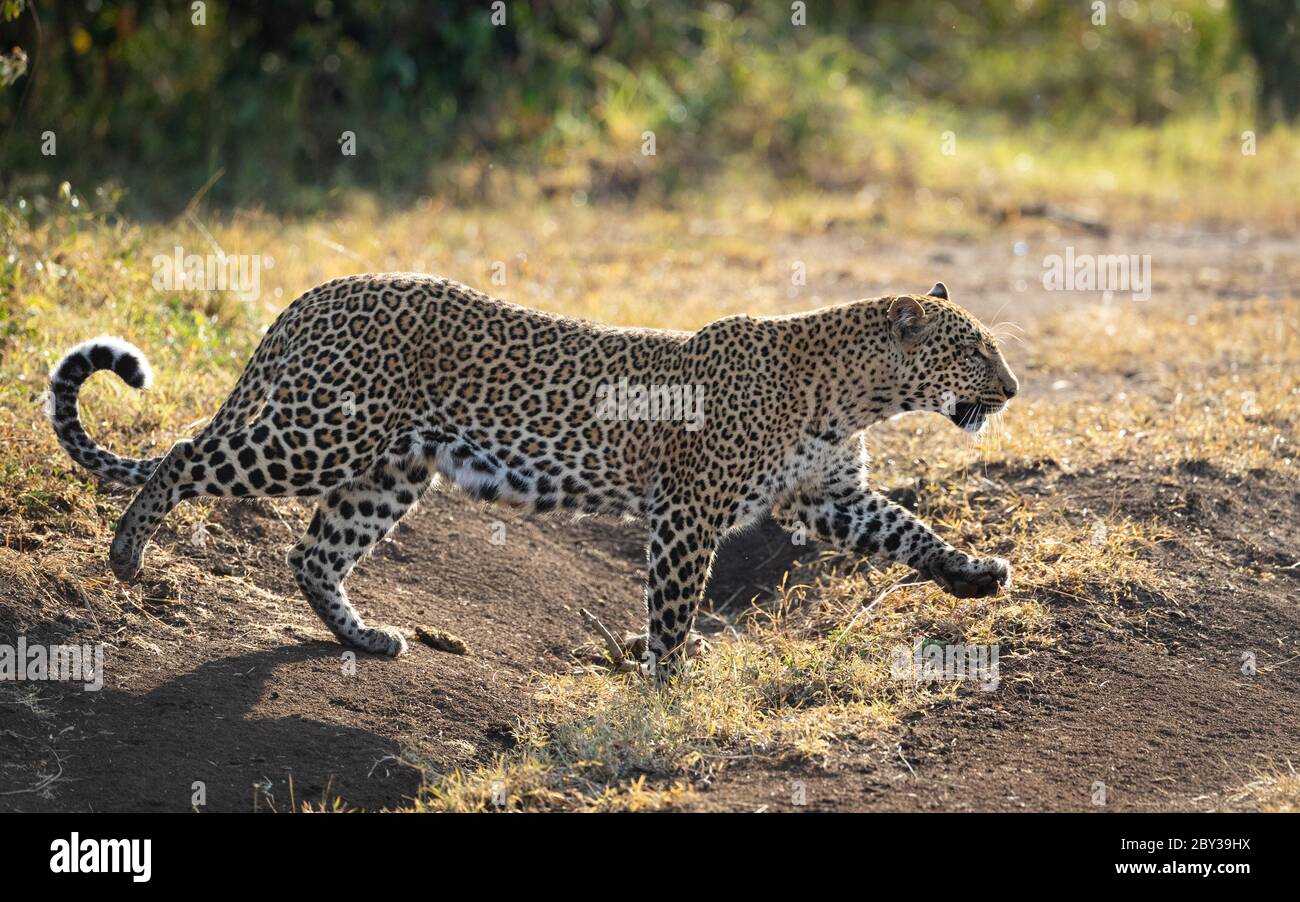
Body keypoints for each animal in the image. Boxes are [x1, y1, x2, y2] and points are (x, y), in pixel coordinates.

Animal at [48, 275, 1013, 675]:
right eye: (976, 350)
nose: (1011, 389)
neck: (856, 395)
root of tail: (313, 295)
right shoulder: (688, 513)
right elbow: (672, 609)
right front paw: (667, 689)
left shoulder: (830, 497)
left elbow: (911, 531)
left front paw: (976, 576)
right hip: (319, 435)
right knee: (183, 455)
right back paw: (127, 555)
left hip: (390, 468)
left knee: (315, 553)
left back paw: (365, 639)